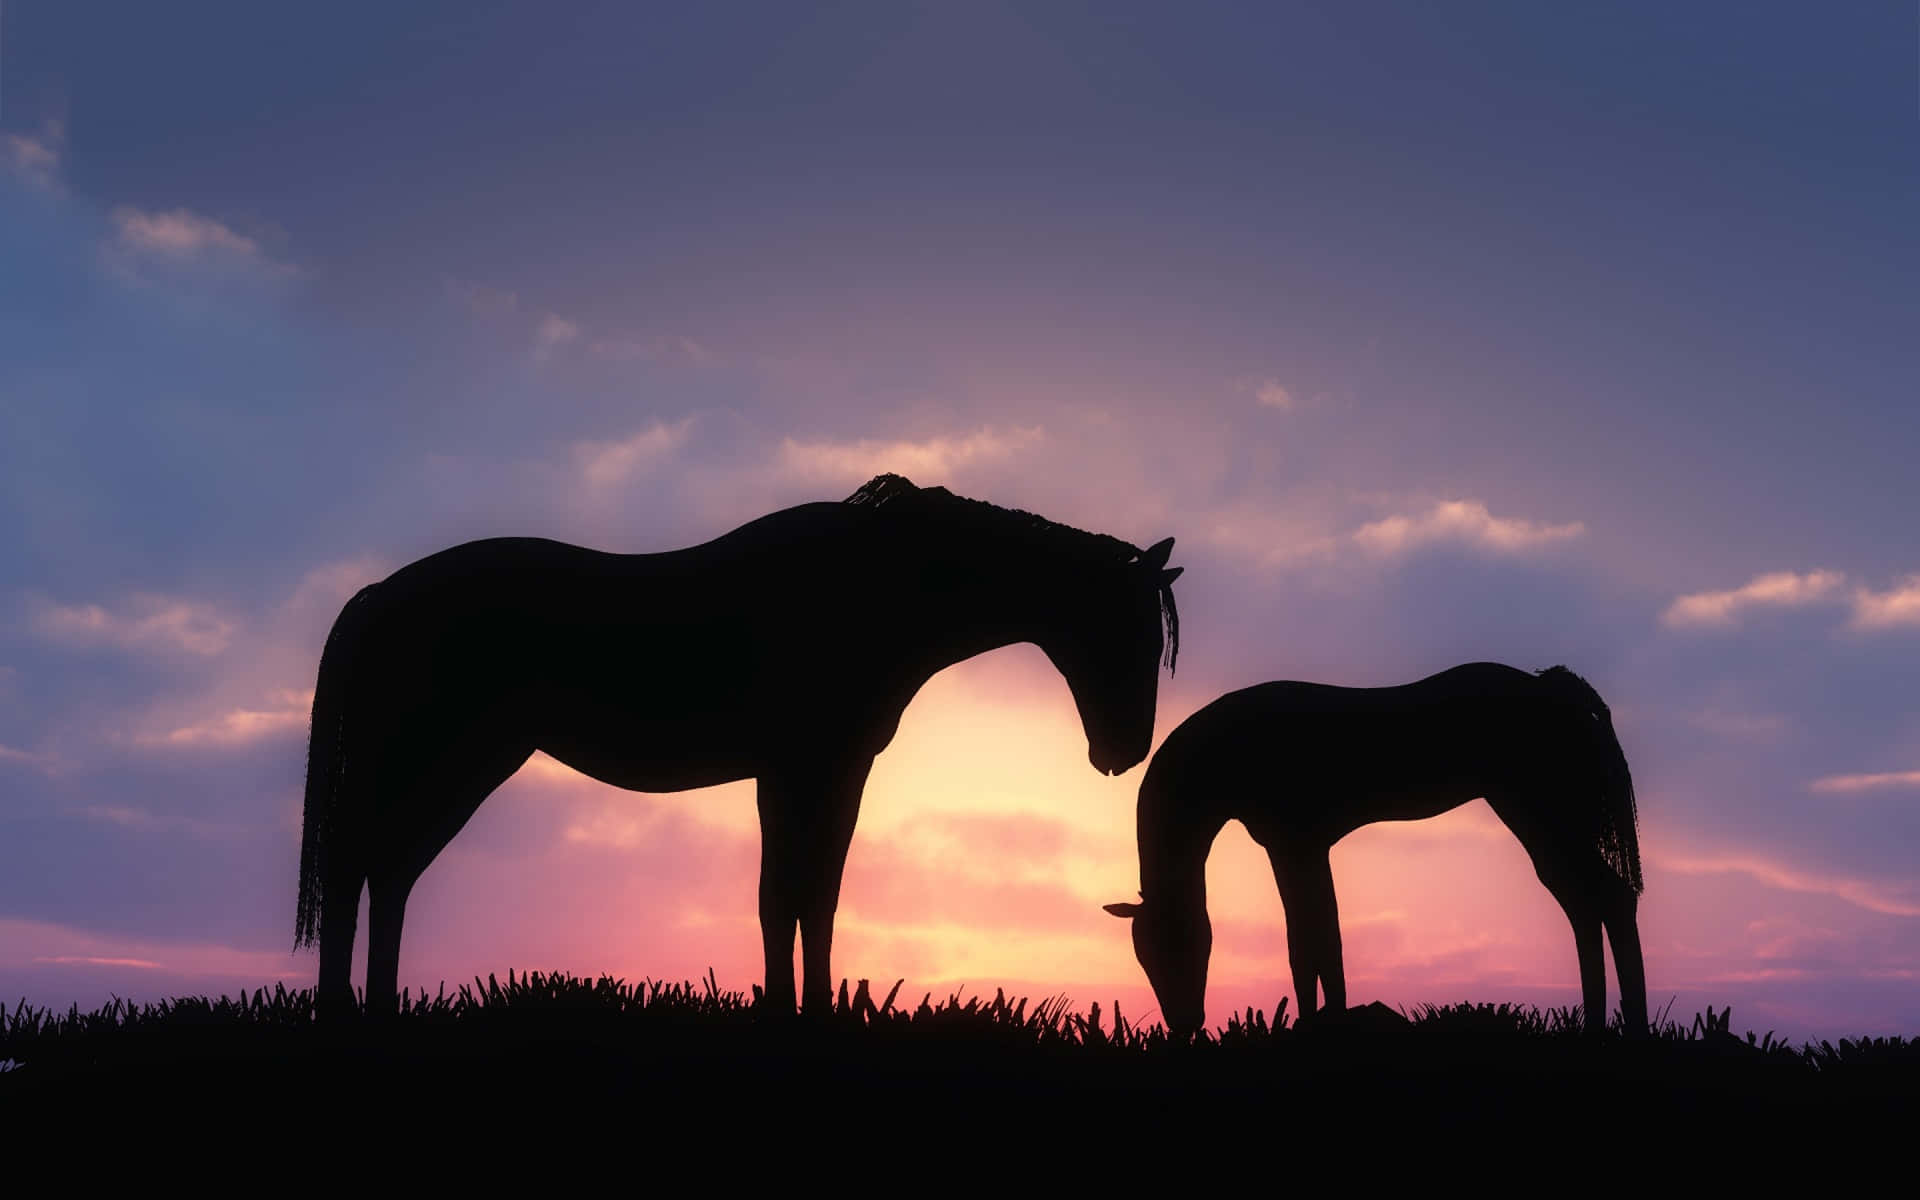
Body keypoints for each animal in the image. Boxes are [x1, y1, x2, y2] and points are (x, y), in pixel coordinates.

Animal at [296, 472, 1183, 1020]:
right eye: (1132, 631)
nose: (1124, 752)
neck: (878, 588)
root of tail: (378, 596)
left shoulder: (807, 773)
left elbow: (798, 895)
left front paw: (802, 1008)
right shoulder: (813, 768)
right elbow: (796, 893)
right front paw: (802, 1012)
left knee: (387, 871)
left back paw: (374, 1006)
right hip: (441, 760)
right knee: (360, 868)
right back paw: (341, 1010)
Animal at [1103, 662, 1646, 1039]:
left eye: (1179, 944)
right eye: (1143, 957)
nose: (1184, 1024)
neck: (1228, 752)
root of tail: (1557, 690)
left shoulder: (1296, 843)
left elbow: (1313, 941)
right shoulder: (1300, 846)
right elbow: (1316, 940)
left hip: (1541, 814)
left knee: (1608, 900)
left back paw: (1633, 1028)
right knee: (1585, 905)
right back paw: (1596, 1025)